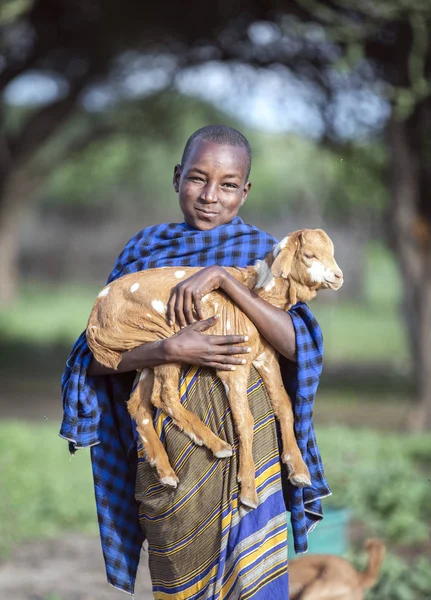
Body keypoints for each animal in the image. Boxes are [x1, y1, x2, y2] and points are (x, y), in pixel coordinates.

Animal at [88, 229, 344, 506]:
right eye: (309, 255)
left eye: (332, 252)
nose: (338, 276)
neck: (258, 291)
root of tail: (94, 319)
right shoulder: (235, 364)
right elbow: (245, 419)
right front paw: (248, 491)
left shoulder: (266, 357)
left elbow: (284, 405)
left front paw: (300, 472)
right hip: (160, 336)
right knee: (164, 396)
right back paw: (218, 446)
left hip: (146, 354)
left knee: (138, 403)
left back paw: (166, 471)